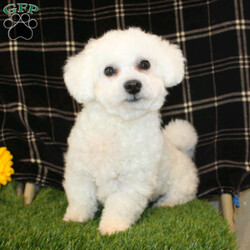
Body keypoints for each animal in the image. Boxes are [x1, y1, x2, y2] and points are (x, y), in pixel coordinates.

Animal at [63, 28, 199, 235]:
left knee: (177, 198)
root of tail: (181, 151)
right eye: (108, 71)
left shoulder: (132, 182)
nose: (133, 85)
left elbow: (120, 206)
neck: (119, 125)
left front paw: (113, 227)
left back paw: (164, 204)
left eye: (144, 64)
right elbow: (81, 198)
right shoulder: (80, 172)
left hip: (182, 187)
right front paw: (75, 218)